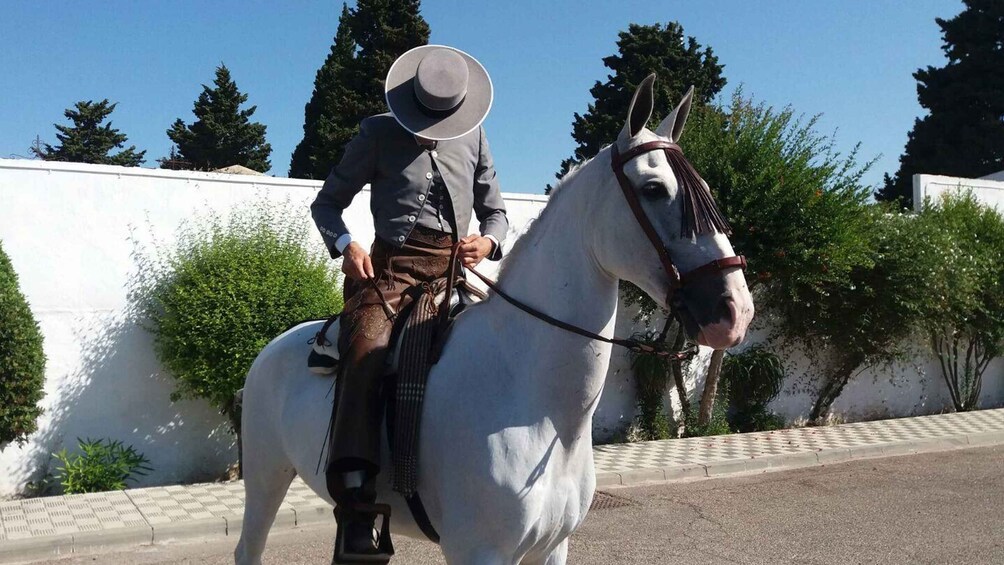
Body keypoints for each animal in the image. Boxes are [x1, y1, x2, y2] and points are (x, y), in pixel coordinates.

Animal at [236, 76, 755, 565]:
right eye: (654, 189)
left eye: (707, 191)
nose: (735, 311)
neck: (535, 401)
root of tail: (274, 347)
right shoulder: (479, 551)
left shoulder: (552, 548)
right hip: (265, 478)